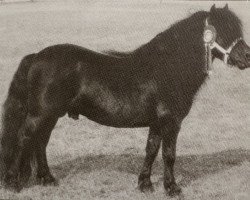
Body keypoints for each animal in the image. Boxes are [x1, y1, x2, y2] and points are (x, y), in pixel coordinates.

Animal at [0, 4, 250, 195]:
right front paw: (172, 188)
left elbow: (151, 150)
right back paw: (12, 183)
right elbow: (169, 155)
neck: (168, 68)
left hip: (50, 115)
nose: (247, 57)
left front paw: (145, 184)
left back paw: (48, 179)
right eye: (223, 30)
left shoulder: (157, 123)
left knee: (40, 143)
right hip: (40, 115)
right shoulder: (171, 122)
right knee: (24, 139)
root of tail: (36, 56)